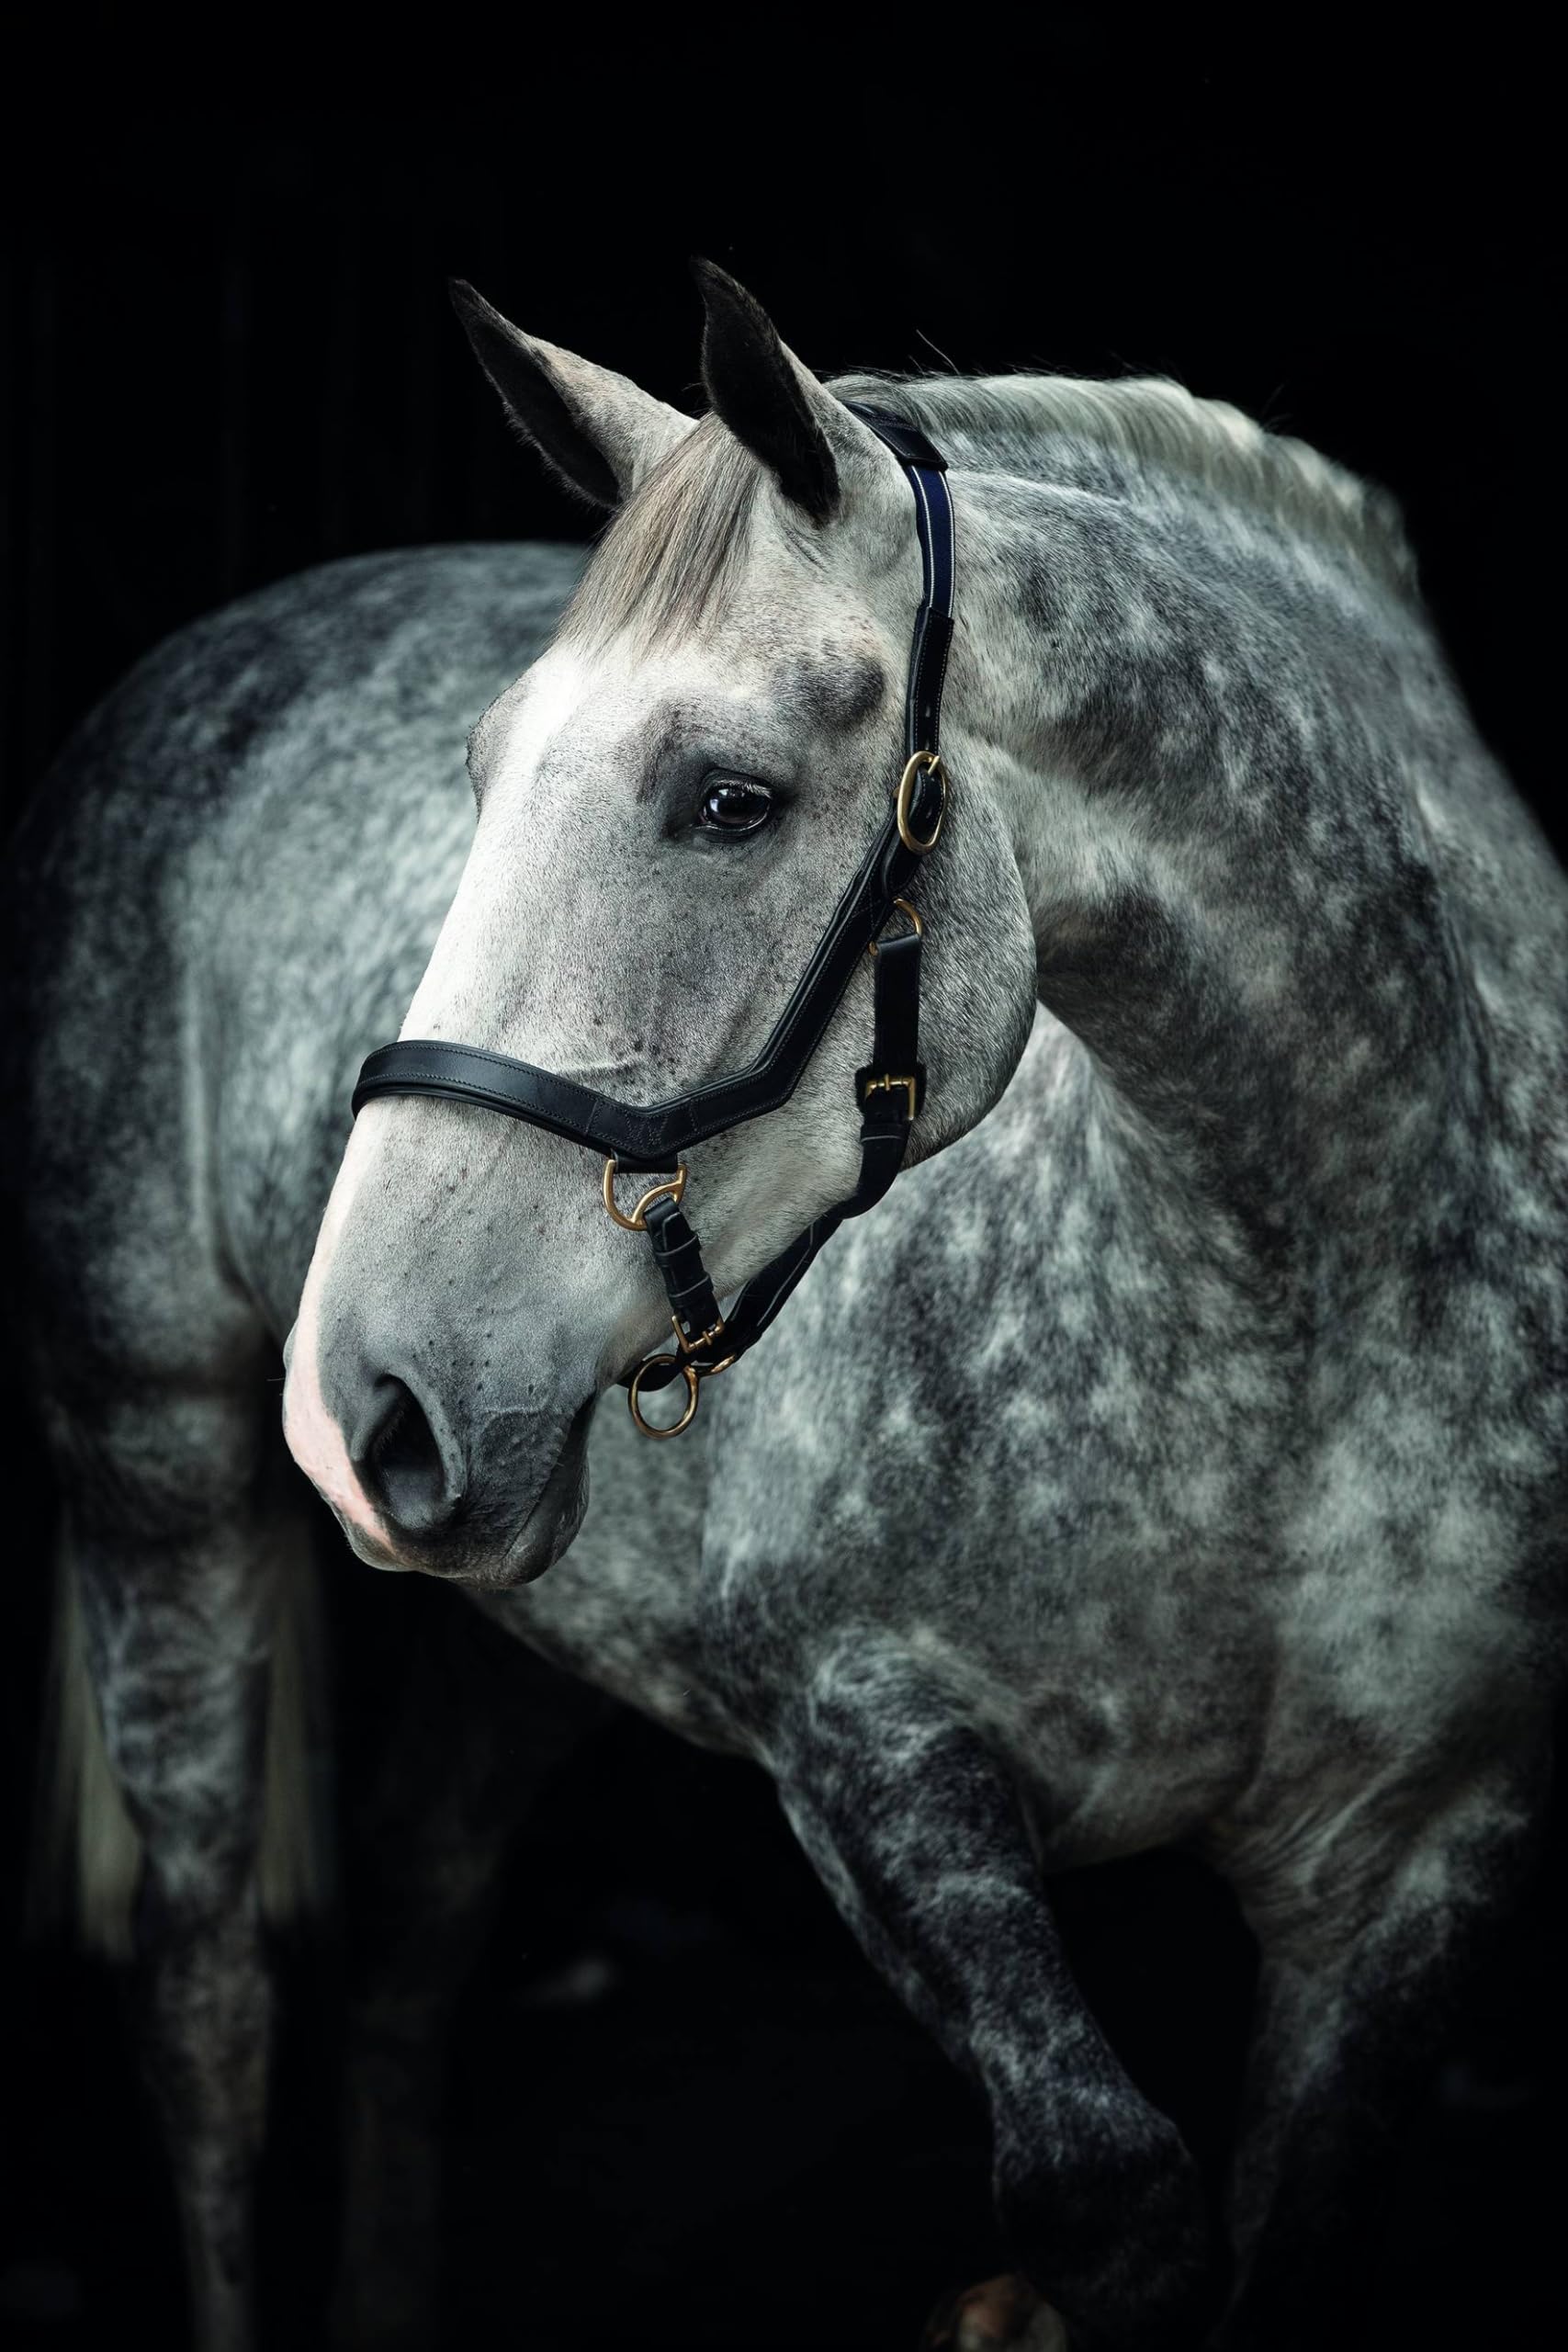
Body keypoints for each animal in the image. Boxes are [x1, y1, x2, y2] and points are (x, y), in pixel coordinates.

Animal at [8, 260, 1564, 2351]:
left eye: (727, 799)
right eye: (480, 776)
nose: (358, 1402)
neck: (1300, 1292)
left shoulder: (1414, 1874)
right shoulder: (861, 1744)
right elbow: (1109, 2197)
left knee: (415, 1931)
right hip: (155, 1473)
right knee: (206, 1999)